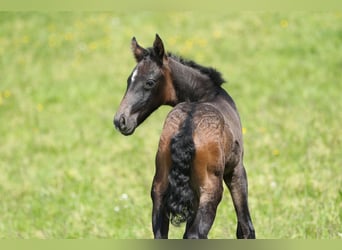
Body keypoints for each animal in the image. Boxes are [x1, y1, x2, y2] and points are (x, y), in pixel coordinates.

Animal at [113, 34, 255, 239]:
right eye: (129, 81)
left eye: (149, 82)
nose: (120, 120)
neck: (207, 95)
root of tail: (186, 128)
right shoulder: (236, 170)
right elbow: (245, 227)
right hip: (210, 192)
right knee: (196, 234)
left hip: (159, 189)